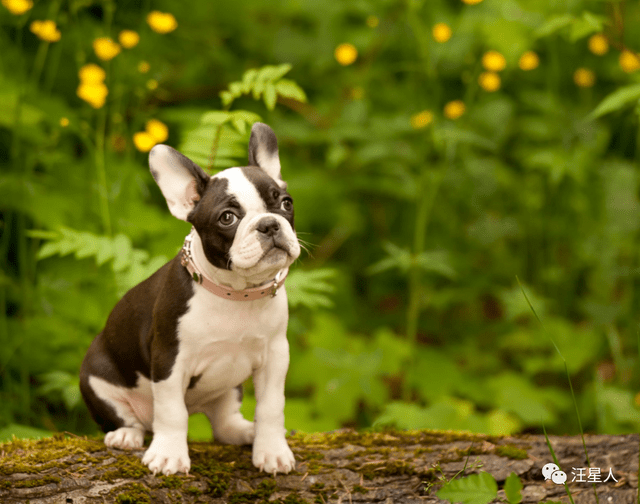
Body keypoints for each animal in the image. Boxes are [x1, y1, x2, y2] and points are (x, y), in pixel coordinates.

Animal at [79, 123, 300, 476]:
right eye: (227, 218)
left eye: (286, 204)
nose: (269, 224)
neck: (236, 293)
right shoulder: (169, 358)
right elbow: (172, 411)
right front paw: (169, 454)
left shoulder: (276, 356)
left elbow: (271, 406)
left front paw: (272, 450)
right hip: (96, 378)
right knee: (129, 419)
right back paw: (126, 435)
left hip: (229, 389)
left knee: (223, 422)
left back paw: (243, 430)